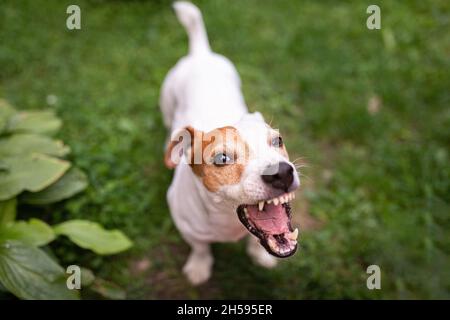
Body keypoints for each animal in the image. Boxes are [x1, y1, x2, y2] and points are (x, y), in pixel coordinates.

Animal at [160, 1, 300, 284]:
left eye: (277, 140)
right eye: (222, 159)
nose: (281, 173)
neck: (227, 222)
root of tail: (200, 53)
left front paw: (259, 256)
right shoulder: (188, 229)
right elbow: (200, 247)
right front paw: (199, 267)